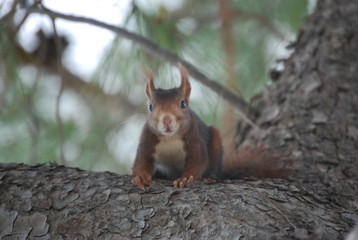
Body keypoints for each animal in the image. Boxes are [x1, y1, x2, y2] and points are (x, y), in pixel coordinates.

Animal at [131, 64, 290, 190]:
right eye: (150, 107)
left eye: (183, 103)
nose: (166, 120)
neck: (171, 138)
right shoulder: (147, 140)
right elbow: (141, 161)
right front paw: (141, 177)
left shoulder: (195, 139)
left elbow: (198, 161)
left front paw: (185, 178)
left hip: (215, 143)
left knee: (213, 167)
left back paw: (210, 177)